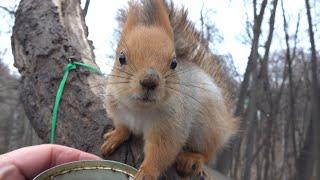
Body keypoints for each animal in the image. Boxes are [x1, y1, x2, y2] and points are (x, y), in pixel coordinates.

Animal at [101, 0, 239, 179]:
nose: (150, 81)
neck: (140, 109)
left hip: (207, 130)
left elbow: (162, 152)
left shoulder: (171, 128)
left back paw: (192, 158)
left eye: (174, 63)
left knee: (208, 152)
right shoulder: (118, 111)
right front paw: (114, 137)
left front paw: (147, 172)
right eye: (121, 58)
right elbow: (123, 127)